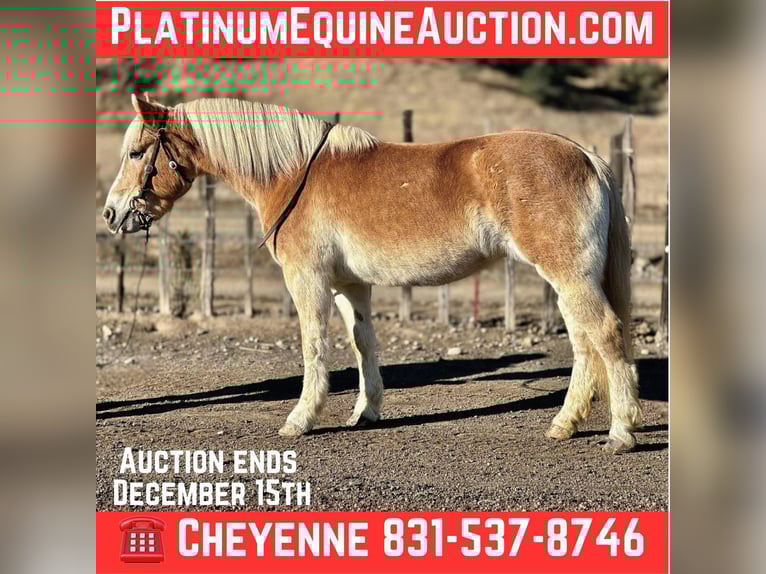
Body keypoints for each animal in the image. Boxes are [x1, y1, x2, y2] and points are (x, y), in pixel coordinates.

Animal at [103, 95, 642, 453]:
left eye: (136, 153)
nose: (111, 213)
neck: (293, 174)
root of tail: (586, 157)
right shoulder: (349, 285)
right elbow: (364, 345)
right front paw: (366, 412)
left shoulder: (308, 280)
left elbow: (313, 346)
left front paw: (301, 419)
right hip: (568, 280)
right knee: (584, 345)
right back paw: (565, 424)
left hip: (569, 275)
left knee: (605, 335)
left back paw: (621, 432)